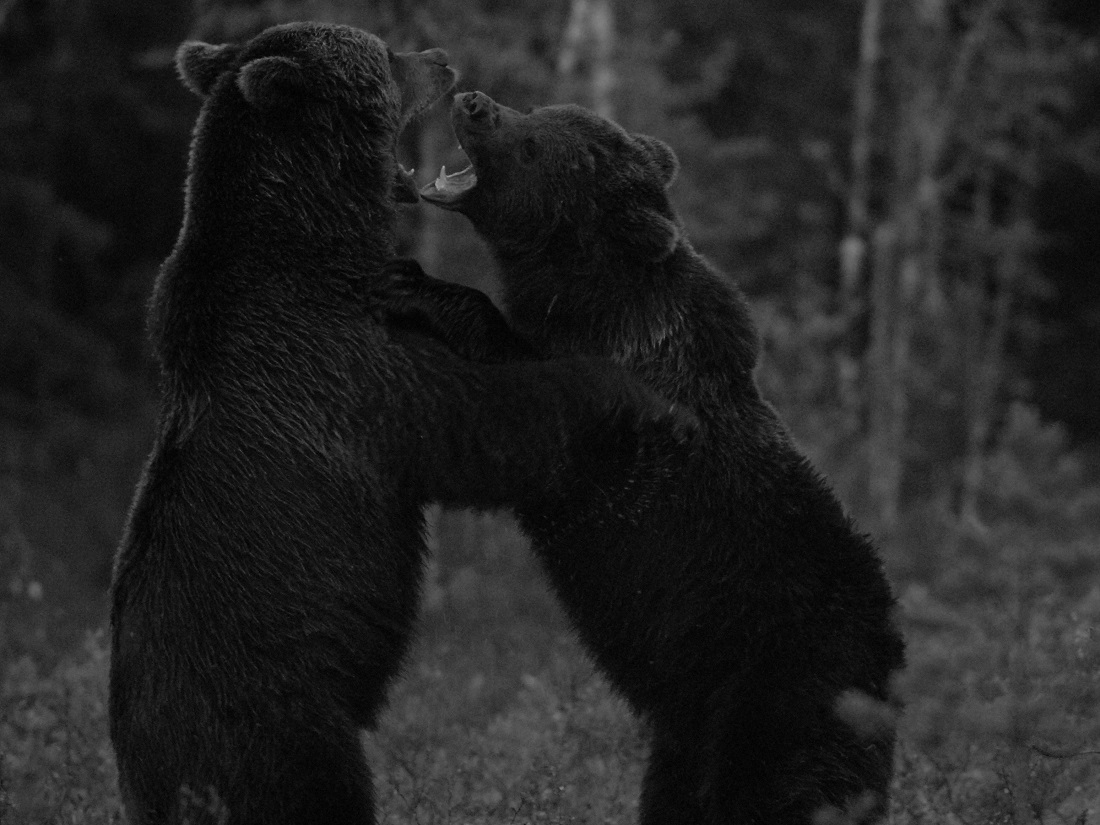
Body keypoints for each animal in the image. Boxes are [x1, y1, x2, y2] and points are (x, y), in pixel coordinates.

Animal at [109, 26, 696, 825]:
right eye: (384, 55)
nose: (442, 58)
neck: (316, 239)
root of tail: (150, 763)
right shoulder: (346, 368)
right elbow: (481, 421)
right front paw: (636, 392)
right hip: (275, 724)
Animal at [403, 91, 909, 824]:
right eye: (539, 111)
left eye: (531, 144)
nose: (475, 103)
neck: (589, 298)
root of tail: (887, 683)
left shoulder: (607, 414)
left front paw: (418, 284)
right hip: (687, 739)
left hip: (774, 696)